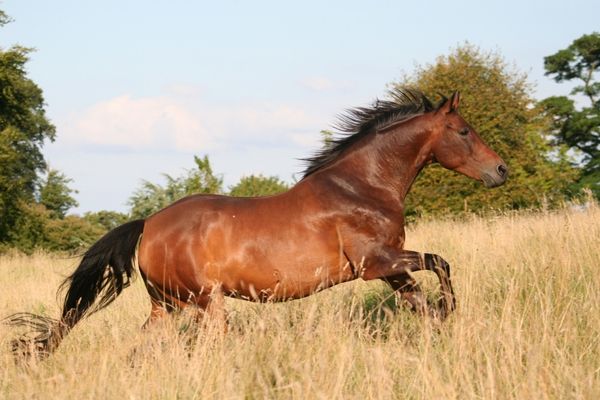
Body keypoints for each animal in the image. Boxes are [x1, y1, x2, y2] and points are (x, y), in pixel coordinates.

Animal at [7, 87, 508, 356]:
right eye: (464, 131)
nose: (500, 170)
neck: (361, 186)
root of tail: (148, 225)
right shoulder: (376, 263)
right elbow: (440, 262)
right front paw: (449, 309)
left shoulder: (391, 269)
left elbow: (421, 297)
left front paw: (440, 323)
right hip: (206, 303)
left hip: (167, 306)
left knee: (142, 349)